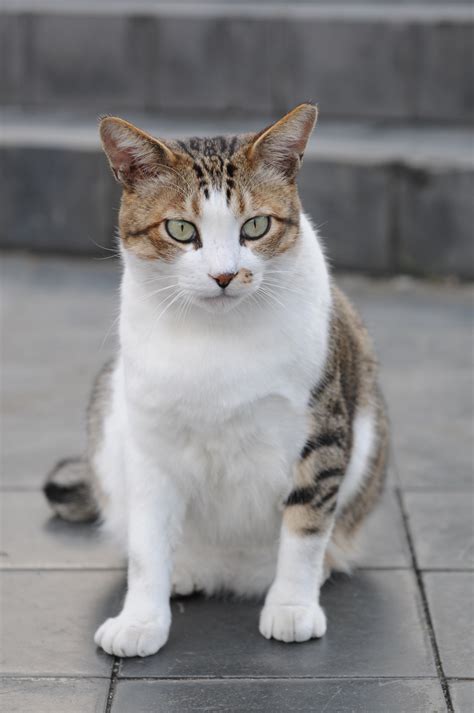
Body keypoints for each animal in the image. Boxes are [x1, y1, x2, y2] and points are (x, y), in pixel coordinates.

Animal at [43, 104, 388, 656]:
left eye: (257, 225)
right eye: (182, 229)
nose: (225, 275)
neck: (217, 335)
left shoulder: (322, 428)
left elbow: (305, 526)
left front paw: (291, 607)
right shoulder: (150, 441)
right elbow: (147, 544)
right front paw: (140, 620)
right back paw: (184, 571)